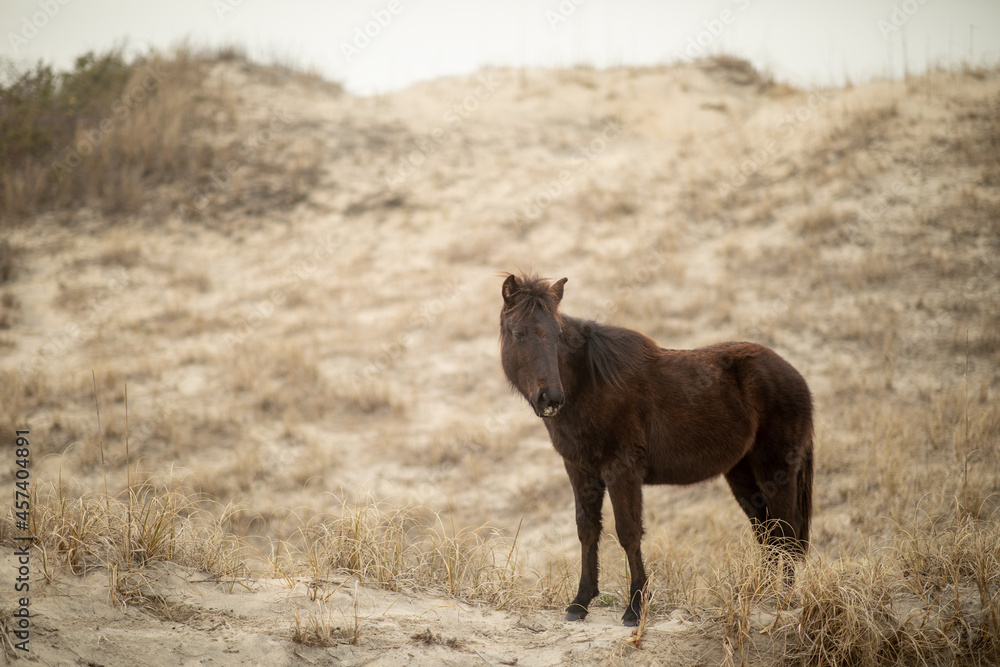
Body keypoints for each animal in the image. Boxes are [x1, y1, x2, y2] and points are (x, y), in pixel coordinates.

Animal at [498, 272, 813, 626]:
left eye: (558, 334)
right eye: (518, 334)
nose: (550, 398)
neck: (590, 382)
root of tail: (795, 376)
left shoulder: (622, 470)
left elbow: (628, 532)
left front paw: (636, 607)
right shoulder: (580, 470)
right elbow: (587, 530)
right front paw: (580, 603)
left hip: (777, 471)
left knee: (786, 534)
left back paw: (782, 601)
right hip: (743, 474)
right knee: (768, 534)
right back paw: (760, 595)